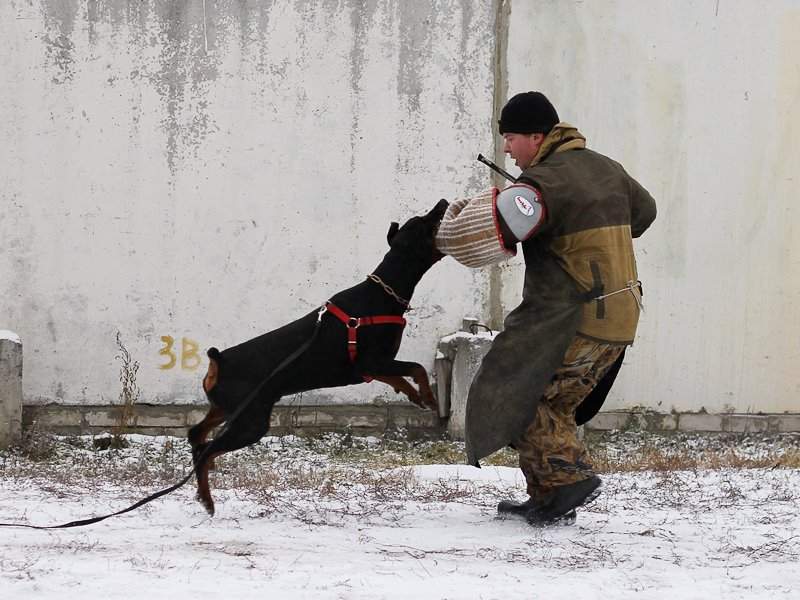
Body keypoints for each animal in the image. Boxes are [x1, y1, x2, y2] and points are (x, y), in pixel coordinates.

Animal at [188, 198, 450, 516]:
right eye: (424, 221)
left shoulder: (368, 367)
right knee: (206, 449)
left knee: (196, 435)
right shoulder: (372, 361)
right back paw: (207, 498)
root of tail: (219, 361)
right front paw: (429, 397)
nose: (442, 202)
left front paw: (413, 395)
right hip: (250, 421)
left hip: (227, 409)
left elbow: (400, 375)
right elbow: (417, 367)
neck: (384, 292)